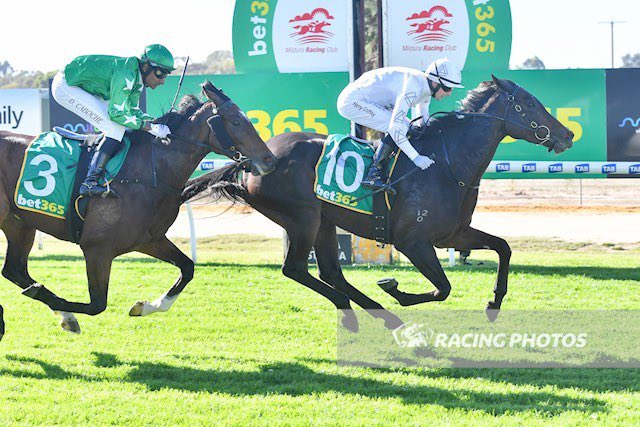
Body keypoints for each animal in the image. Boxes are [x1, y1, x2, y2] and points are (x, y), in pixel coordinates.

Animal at [0, 81, 276, 338]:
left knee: (14, 270)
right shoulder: (97, 248)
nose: (270, 160)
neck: (148, 173)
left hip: (19, 224)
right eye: (237, 122)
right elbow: (97, 305)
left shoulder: (149, 240)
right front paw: (55, 306)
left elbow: (187, 268)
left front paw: (145, 307)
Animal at [181, 77, 576, 332]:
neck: (448, 164)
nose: (567, 134)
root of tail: (255, 159)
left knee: (330, 271)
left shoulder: (453, 234)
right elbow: (443, 288)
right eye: (528, 104)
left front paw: (494, 303)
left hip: (324, 221)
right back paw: (372, 313)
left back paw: (376, 315)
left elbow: (503, 247)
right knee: (296, 269)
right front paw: (394, 288)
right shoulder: (413, 242)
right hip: (303, 219)